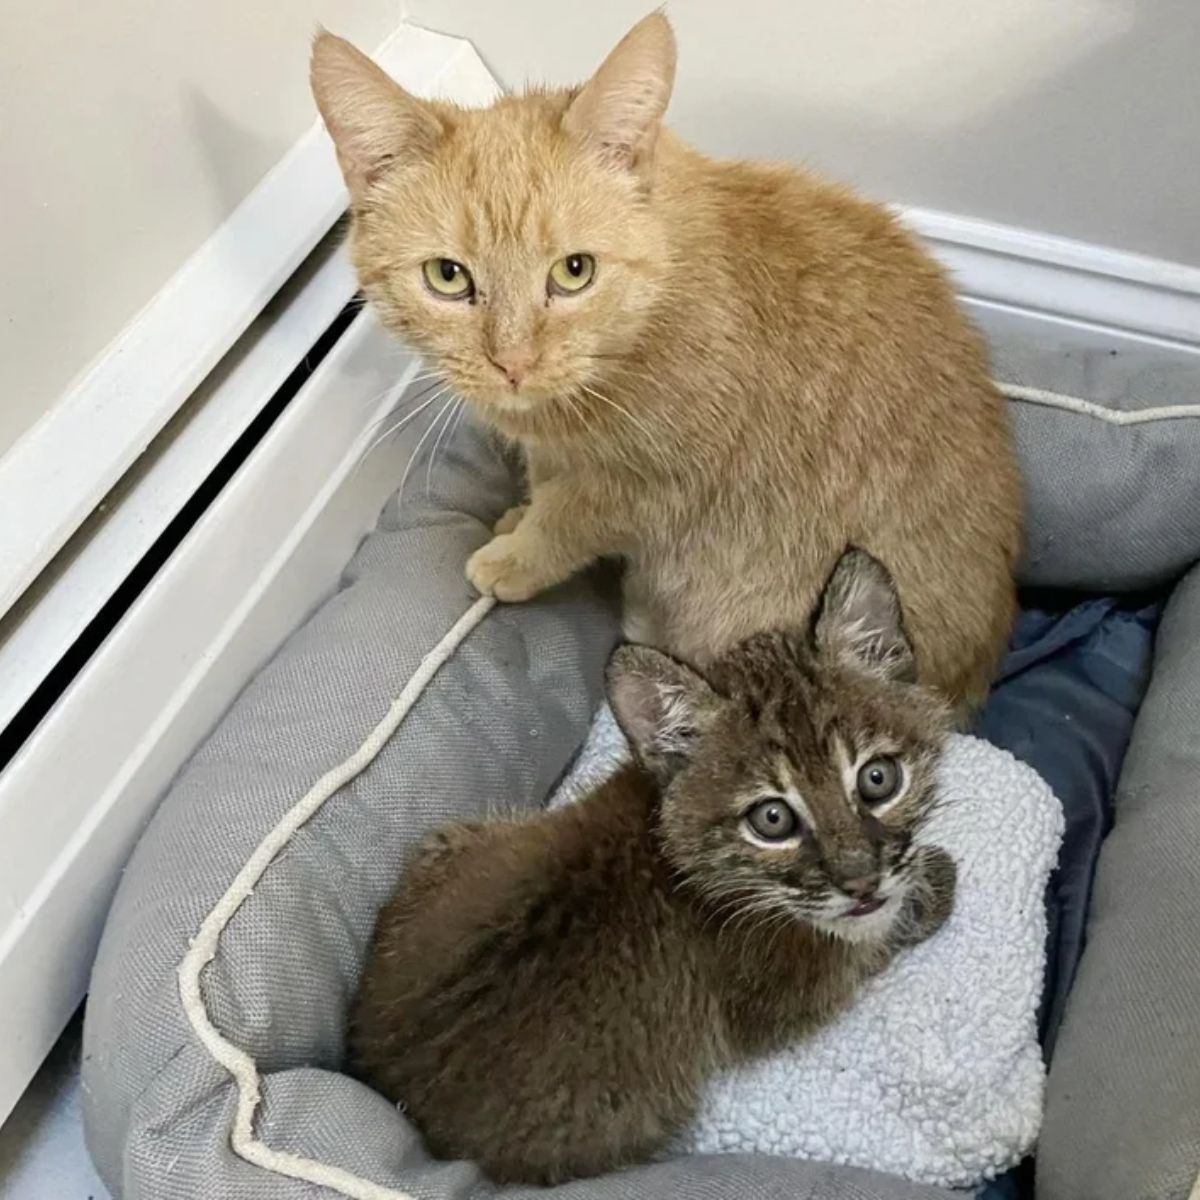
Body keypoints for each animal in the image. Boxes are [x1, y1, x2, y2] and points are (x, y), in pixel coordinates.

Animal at [312, 11, 1022, 710]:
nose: (513, 361)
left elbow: (568, 520)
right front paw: (518, 515)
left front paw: (515, 556)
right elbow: (547, 481)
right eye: (447, 276)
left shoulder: (652, 487)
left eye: (574, 271)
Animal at [348, 549, 955, 1180]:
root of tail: (394, 1092)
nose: (861, 880)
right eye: (772, 819)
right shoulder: (796, 991)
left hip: (449, 839)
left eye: (878, 778)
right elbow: (868, 939)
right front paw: (931, 881)